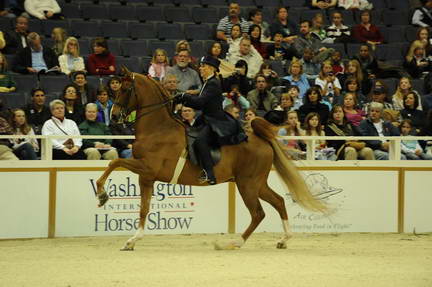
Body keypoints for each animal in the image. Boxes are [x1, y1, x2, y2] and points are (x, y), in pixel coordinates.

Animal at [96, 70, 328, 252]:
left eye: (126, 89)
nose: (114, 116)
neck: (158, 129)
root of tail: (261, 139)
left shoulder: (146, 170)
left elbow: (115, 165)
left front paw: (102, 196)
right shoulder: (145, 175)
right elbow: (141, 204)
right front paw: (131, 240)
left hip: (247, 184)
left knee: (258, 213)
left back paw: (235, 243)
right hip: (256, 183)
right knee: (278, 201)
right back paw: (283, 239)